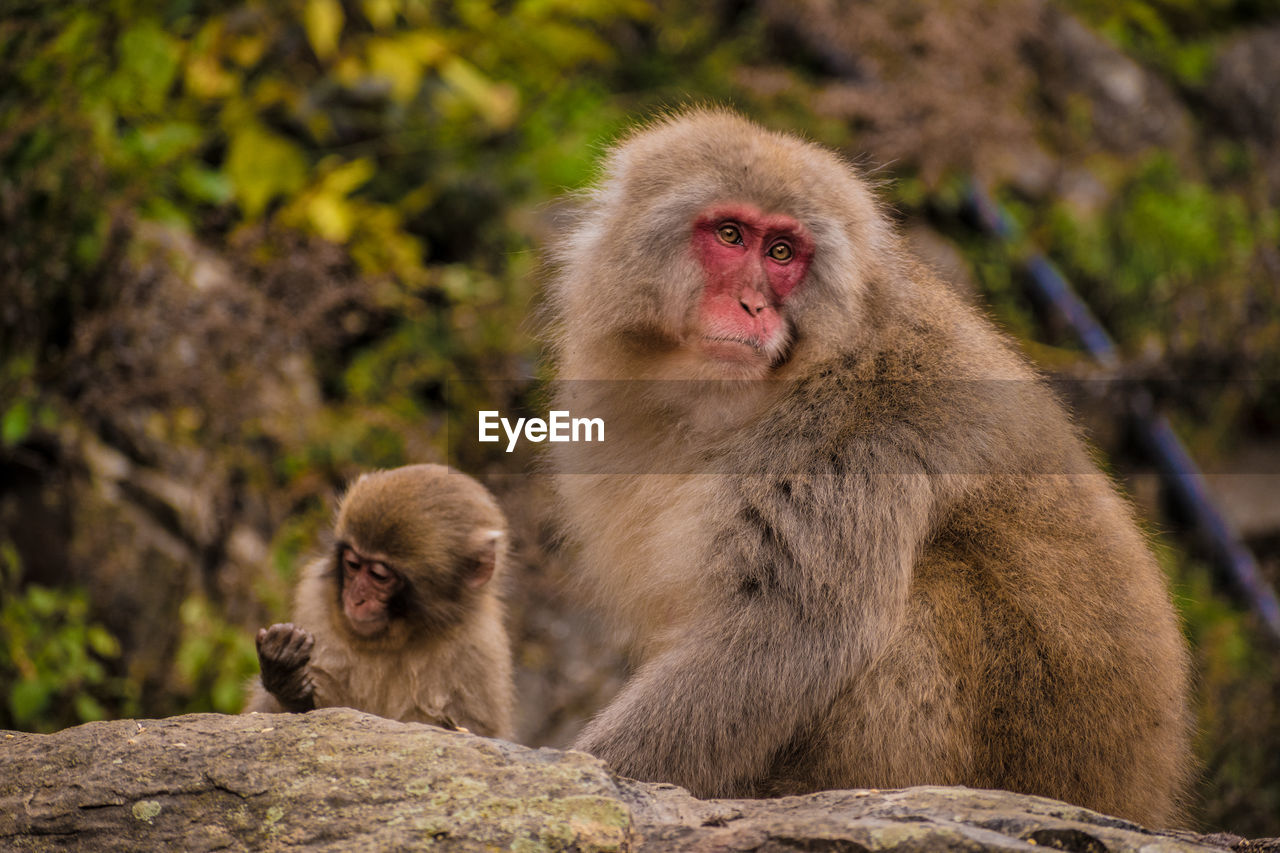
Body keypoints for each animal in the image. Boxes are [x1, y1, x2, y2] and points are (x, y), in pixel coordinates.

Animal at [241, 461, 512, 732]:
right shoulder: (314, 604)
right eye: (353, 564)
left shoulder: (480, 651)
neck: (396, 639)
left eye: (379, 576)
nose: (355, 599)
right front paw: (286, 677)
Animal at [545, 109, 1192, 819]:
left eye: (782, 253)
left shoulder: (852, 438)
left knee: (924, 596)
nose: (753, 307)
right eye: (730, 234)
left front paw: (600, 770)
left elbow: (798, 628)